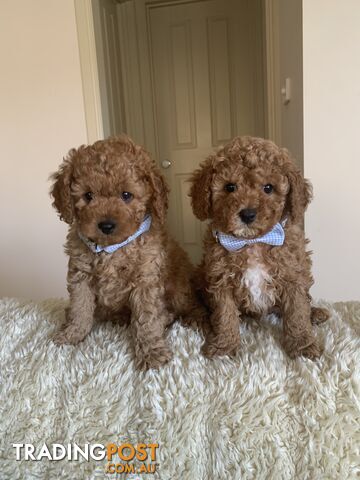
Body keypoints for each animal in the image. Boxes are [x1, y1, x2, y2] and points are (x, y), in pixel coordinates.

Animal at [51, 137, 202, 370]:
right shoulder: (81, 275)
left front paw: (151, 352)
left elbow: (147, 321)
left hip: (179, 288)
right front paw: (71, 334)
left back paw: (188, 317)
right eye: (88, 196)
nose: (106, 225)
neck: (112, 249)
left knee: (190, 304)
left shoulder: (145, 280)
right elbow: (79, 308)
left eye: (126, 195)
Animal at [191, 136, 330, 360]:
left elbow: (297, 313)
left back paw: (315, 313)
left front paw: (302, 346)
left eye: (268, 188)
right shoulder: (220, 278)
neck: (252, 241)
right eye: (230, 187)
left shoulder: (293, 275)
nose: (247, 214)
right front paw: (224, 347)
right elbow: (224, 315)